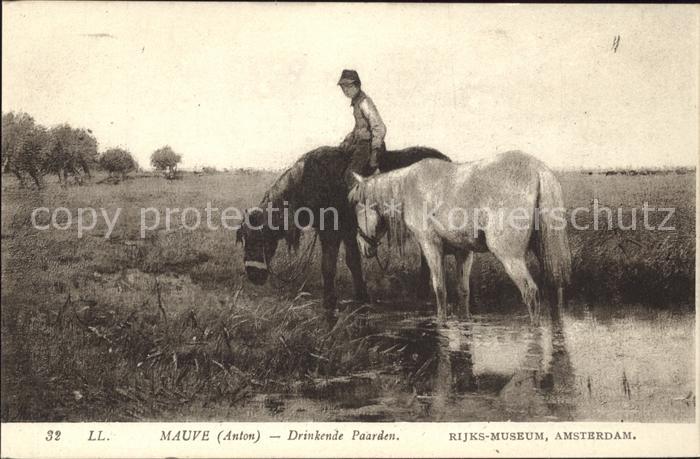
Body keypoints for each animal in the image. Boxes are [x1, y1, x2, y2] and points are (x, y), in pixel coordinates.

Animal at [235, 145, 451, 309]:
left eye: (260, 240)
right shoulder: (345, 232)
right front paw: (361, 295)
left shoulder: (332, 232)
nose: (253, 275)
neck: (311, 182)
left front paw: (330, 301)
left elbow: (328, 265)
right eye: (244, 240)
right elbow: (352, 261)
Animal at [348, 150, 572, 324]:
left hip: (510, 256)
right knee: (555, 289)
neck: (408, 188)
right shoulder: (463, 252)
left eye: (358, 205)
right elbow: (463, 292)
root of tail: (539, 171)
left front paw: (441, 321)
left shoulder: (431, 246)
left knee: (530, 292)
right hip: (544, 252)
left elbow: (440, 288)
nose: (362, 246)